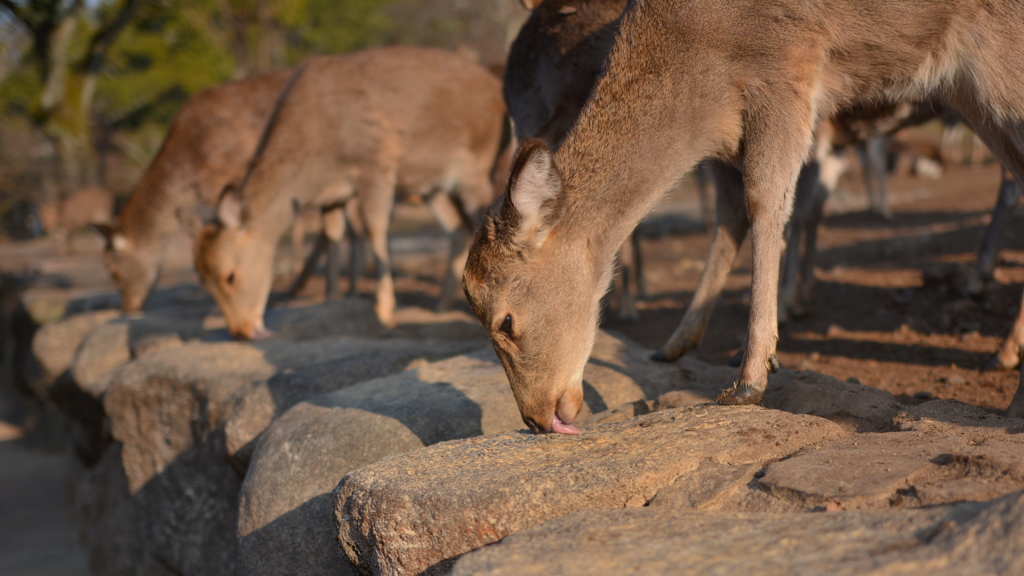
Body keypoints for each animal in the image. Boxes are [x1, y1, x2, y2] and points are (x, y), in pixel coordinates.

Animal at [190, 48, 509, 340]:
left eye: (229, 276)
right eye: (203, 281)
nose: (241, 331)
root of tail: (497, 90)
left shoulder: (375, 165)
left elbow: (375, 228)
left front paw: (385, 311)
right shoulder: (332, 196)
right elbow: (333, 236)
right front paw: (332, 299)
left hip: (475, 167)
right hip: (429, 185)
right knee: (457, 227)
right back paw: (442, 305)